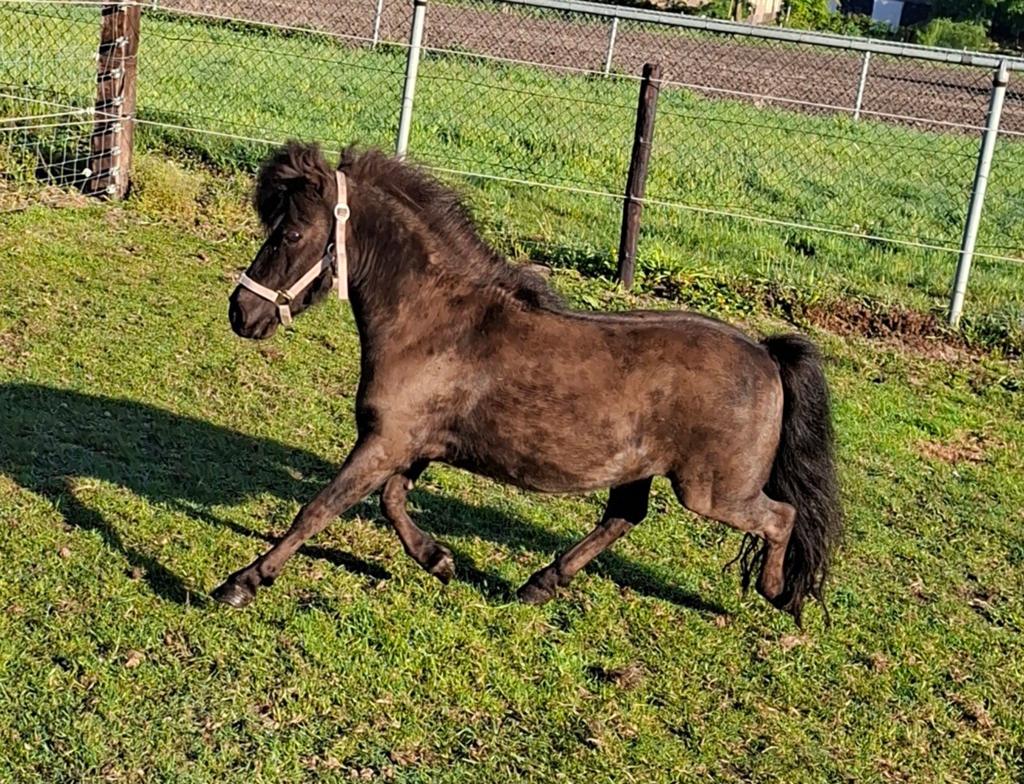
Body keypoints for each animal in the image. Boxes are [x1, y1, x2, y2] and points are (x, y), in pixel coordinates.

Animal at [215, 141, 842, 624]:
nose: (241, 313)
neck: (437, 323)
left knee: (781, 518)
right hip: (640, 471)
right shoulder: (412, 445)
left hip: (712, 492)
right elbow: (391, 502)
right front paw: (439, 560)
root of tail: (764, 354)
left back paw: (780, 595)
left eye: (291, 232)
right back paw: (539, 583)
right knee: (623, 517)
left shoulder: (386, 441)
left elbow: (319, 507)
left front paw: (242, 582)